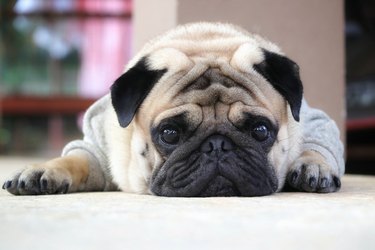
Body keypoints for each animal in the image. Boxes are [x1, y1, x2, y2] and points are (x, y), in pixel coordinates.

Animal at [2, 22, 346, 196]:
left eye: (260, 131)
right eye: (169, 134)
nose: (217, 145)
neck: (205, 43)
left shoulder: (313, 119)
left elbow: (316, 143)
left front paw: (312, 165)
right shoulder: (98, 143)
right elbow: (78, 159)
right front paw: (45, 170)